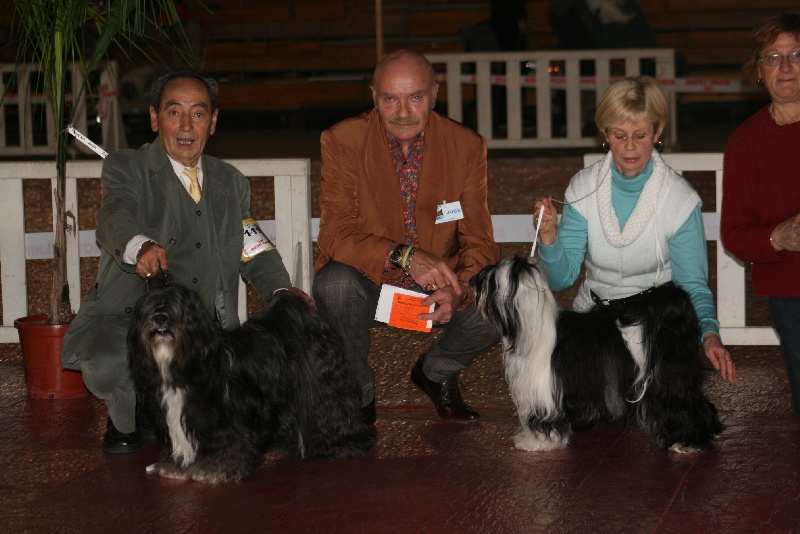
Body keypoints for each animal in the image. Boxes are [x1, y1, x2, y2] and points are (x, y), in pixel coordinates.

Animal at [127, 275, 374, 483]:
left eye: (176, 309)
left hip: (327, 392)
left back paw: (343, 444)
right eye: (149, 308)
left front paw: (217, 469)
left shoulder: (226, 418)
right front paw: (175, 466)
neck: (183, 365)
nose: (160, 319)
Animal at [473, 256, 723, 453]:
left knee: (681, 406)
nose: (472, 281)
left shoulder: (543, 392)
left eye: (490, 279)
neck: (531, 325)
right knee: (697, 401)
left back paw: (687, 443)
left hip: (666, 380)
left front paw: (536, 442)